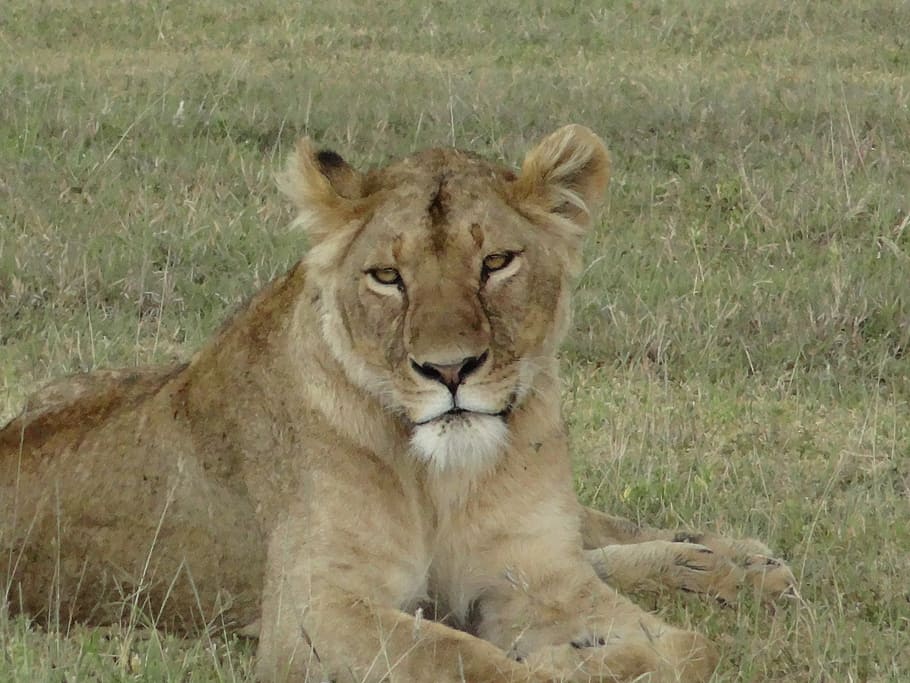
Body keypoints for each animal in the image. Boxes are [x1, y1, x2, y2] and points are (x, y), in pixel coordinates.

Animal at [1, 125, 794, 682]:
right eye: (387, 276)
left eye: (496, 262)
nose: (449, 369)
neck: (439, 476)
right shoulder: (309, 614)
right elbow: (466, 661)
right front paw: (572, 662)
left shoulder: (538, 569)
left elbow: (691, 647)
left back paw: (735, 562)